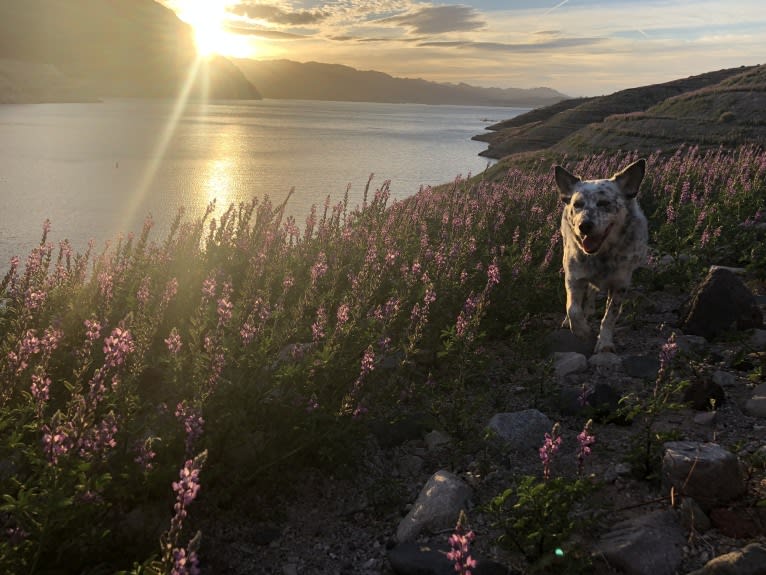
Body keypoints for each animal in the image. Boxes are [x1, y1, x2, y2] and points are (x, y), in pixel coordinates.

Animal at [556, 159, 652, 356]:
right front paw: (582, 331)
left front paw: (605, 343)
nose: (584, 225)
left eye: (604, 203)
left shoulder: (620, 285)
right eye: (577, 204)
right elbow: (572, 309)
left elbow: (609, 317)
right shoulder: (573, 277)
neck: (601, 256)